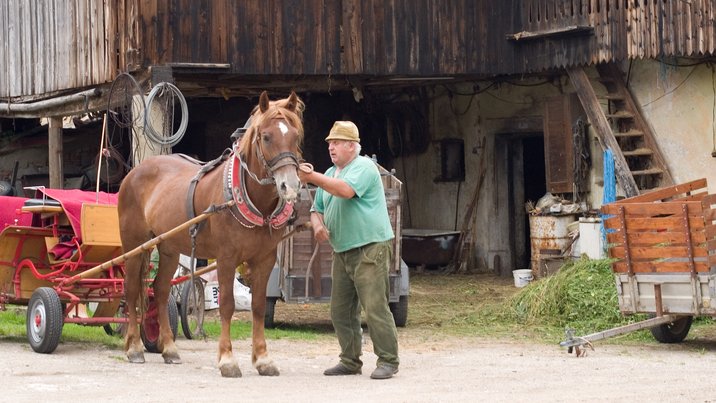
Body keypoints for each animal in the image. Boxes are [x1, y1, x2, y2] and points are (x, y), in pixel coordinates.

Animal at [117, 91, 304, 377]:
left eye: (295, 136)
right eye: (266, 136)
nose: (290, 186)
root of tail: (134, 172)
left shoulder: (264, 259)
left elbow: (258, 307)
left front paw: (263, 359)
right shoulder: (226, 258)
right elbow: (226, 304)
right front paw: (227, 359)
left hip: (169, 248)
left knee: (160, 291)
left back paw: (169, 348)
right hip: (134, 245)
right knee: (131, 290)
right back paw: (135, 348)